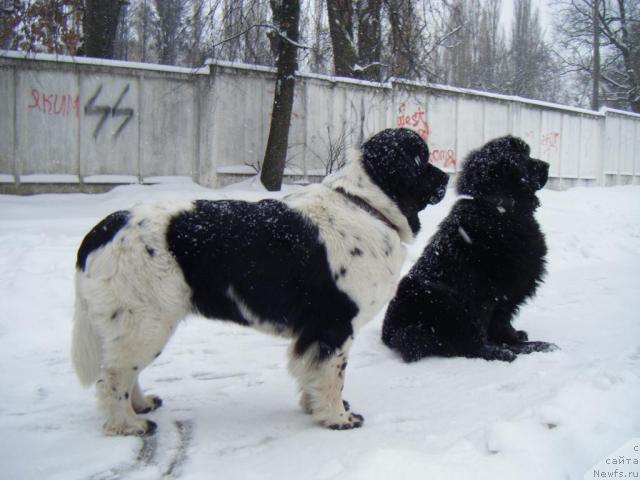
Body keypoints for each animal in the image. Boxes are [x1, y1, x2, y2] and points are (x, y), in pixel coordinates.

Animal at [71, 127, 450, 436]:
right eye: (421, 159)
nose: (447, 177)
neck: (365, 205)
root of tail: (105, 227)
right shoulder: (335, 325)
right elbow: (333, 374)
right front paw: (337, 418)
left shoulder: (313, 332)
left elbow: (311, 372)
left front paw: (314, 408)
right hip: (145, 322)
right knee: (113, 376)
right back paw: (128, 424)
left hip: (141, 325)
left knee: (124, 370)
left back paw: (141, 405)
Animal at [382, 135, 556, 360]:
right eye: (523, 156)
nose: (547, 165)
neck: (499, 210)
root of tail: (388, 333)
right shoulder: (491, 292)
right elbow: (494, 325)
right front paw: (517, 346)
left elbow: (504, 322)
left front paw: (518, 340)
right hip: (442, 296)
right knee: (464, 342)